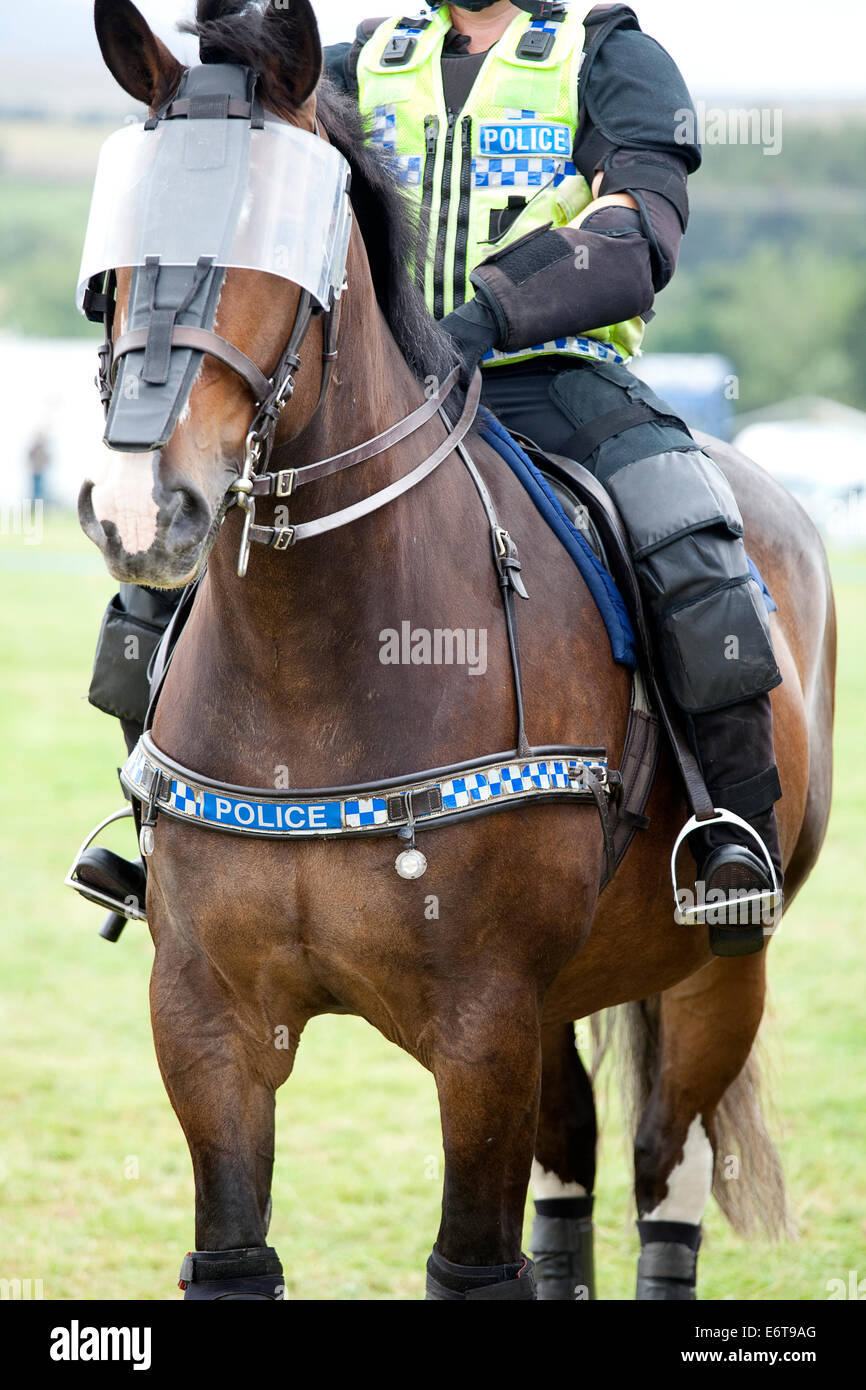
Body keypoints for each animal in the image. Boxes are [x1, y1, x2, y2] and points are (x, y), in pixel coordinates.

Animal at [77, 0, 835, 1299]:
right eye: (122, 244)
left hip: (712, 970)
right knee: (573, 1161)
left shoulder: (480, 1024)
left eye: (278, 230)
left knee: (660, 1169)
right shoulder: (206, 1022)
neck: (316, 683)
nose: (145, 506)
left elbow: (473, 1264)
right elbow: (234, 1252)